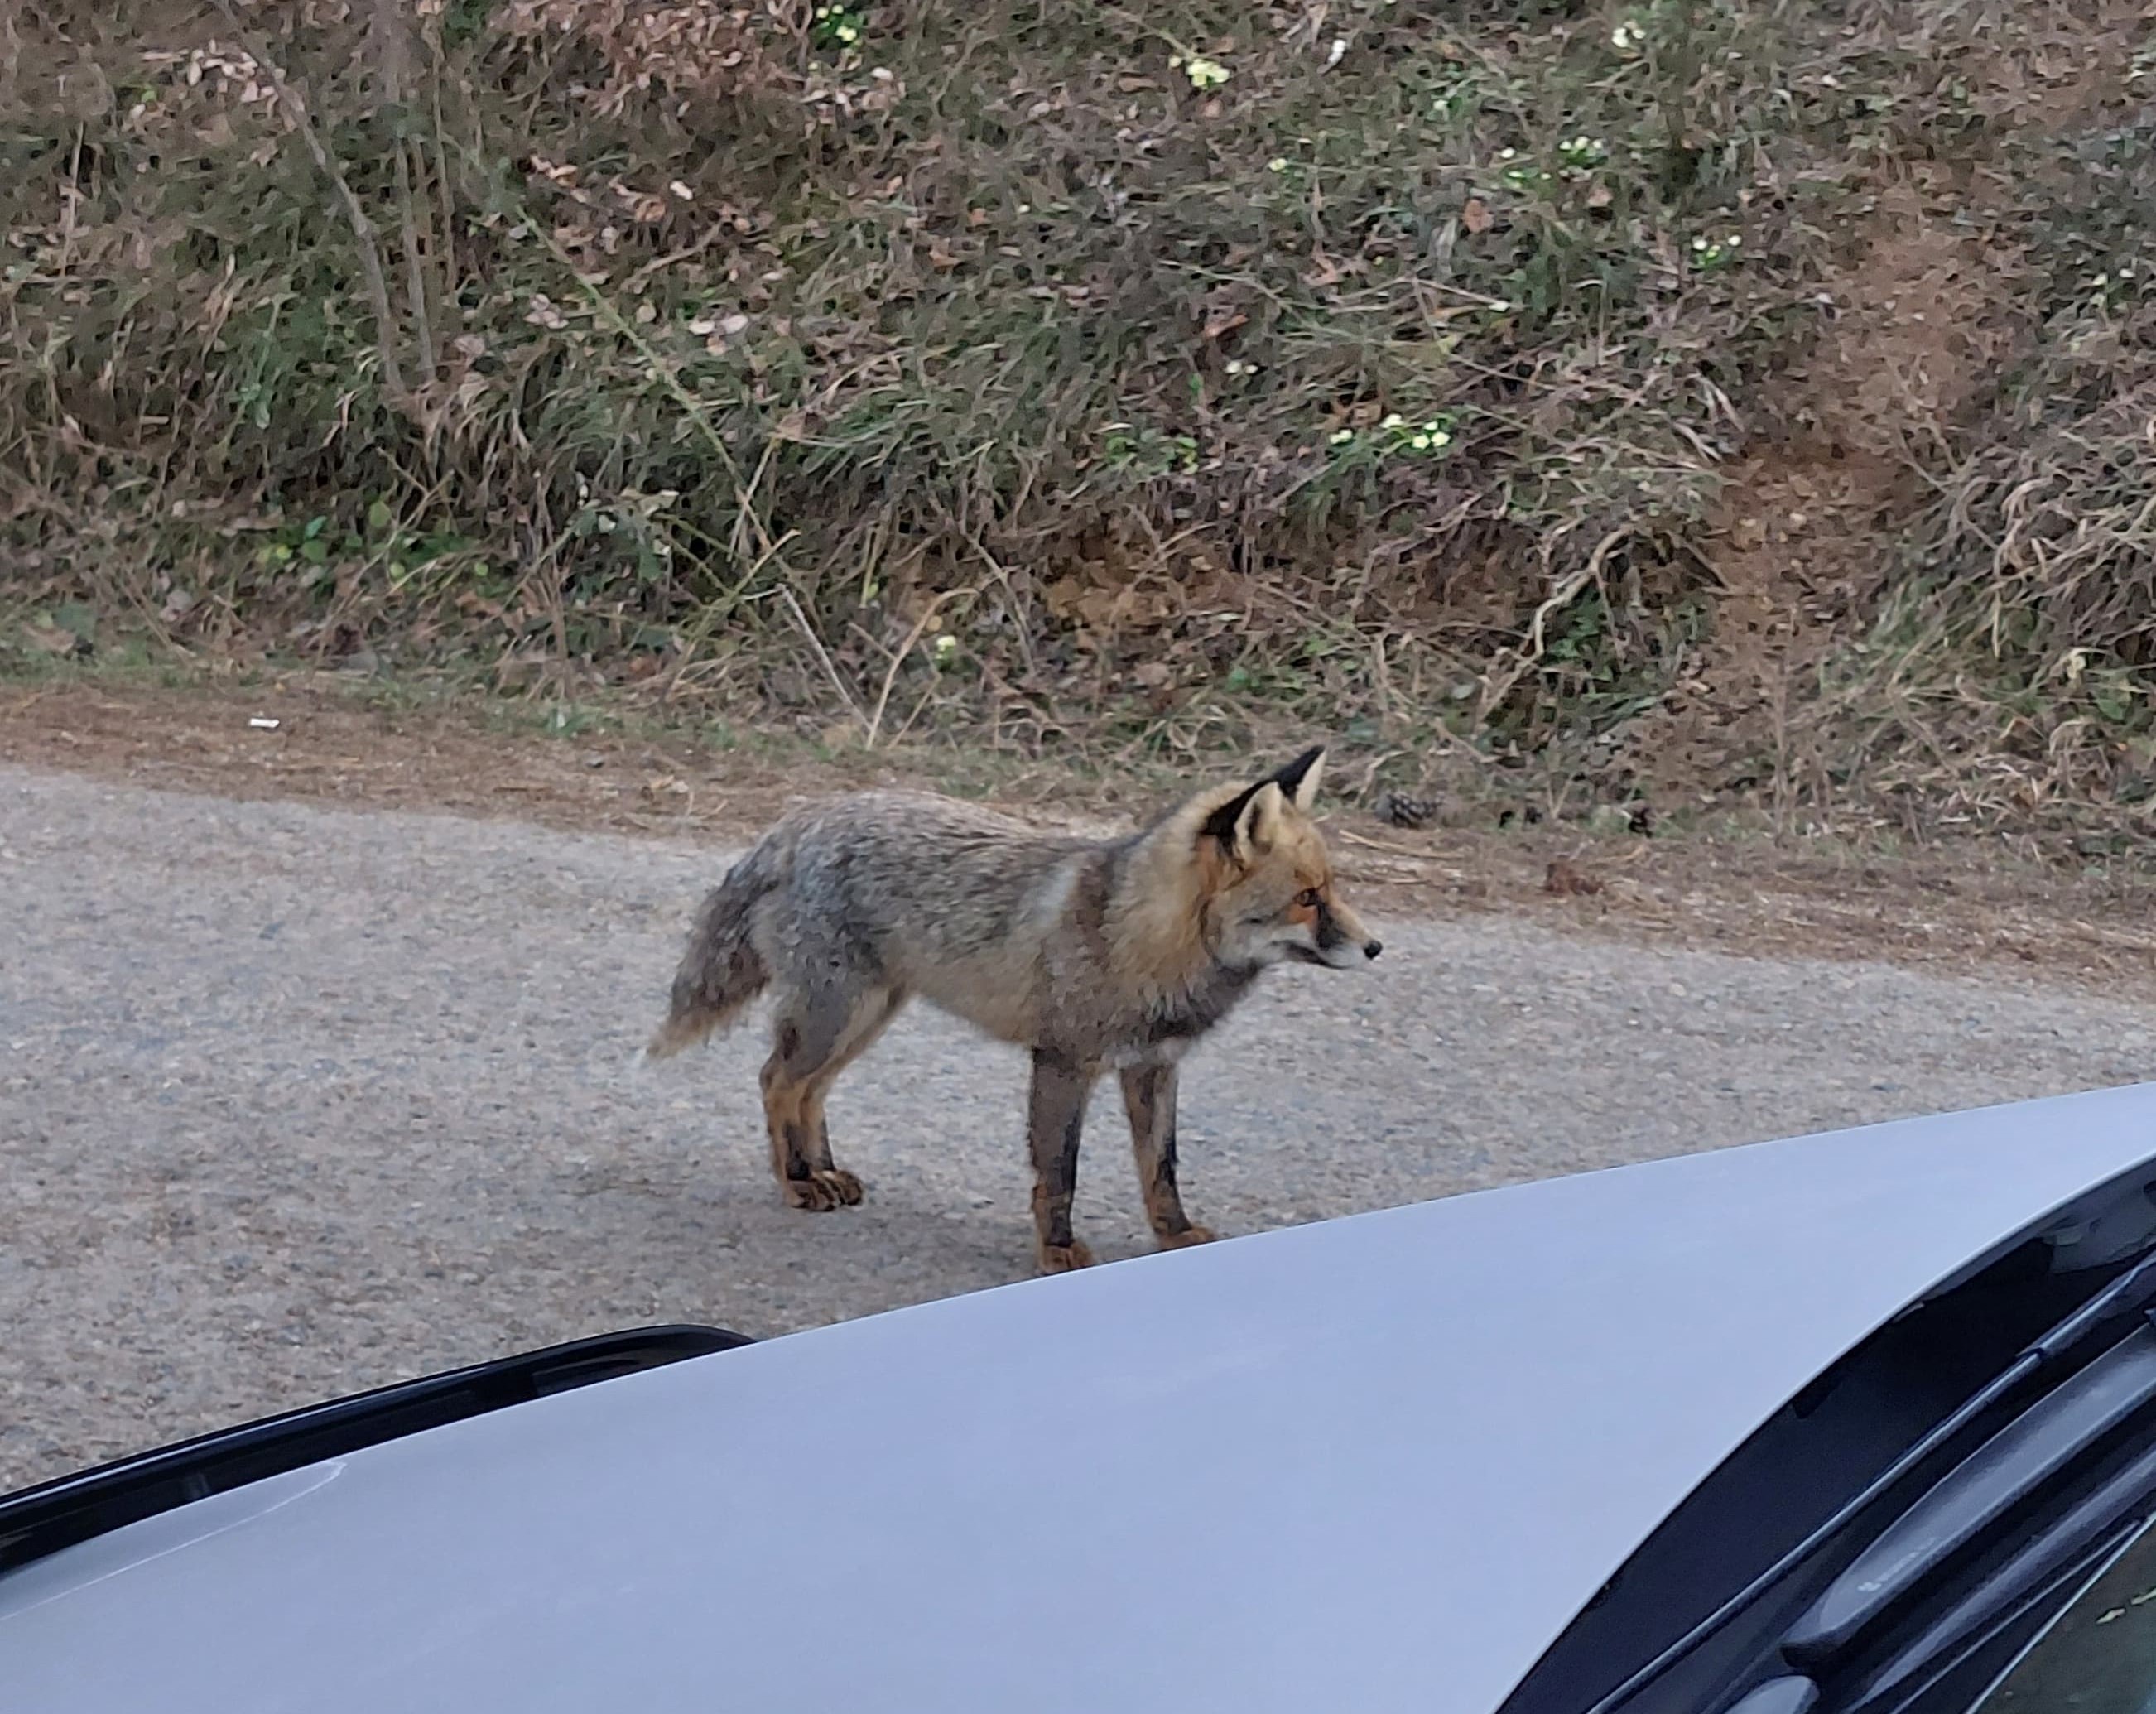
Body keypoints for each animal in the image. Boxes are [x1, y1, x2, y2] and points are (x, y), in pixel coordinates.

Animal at [642, 745, 1379, 1276]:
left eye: (1333, 888)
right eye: (1307, 899)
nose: (1375, 946)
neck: (1140, 940)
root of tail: (804, 817)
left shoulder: (1153, 1067)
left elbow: (1162, 1167)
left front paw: (1173, 1234)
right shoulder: (1063, 1061)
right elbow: (1059, 1173)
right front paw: (1057, 1252)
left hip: (868, 1015)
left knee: (808, 1090)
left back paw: (823, 1170)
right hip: (839, 1013)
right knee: (776, 1080)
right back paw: (798, 1181)